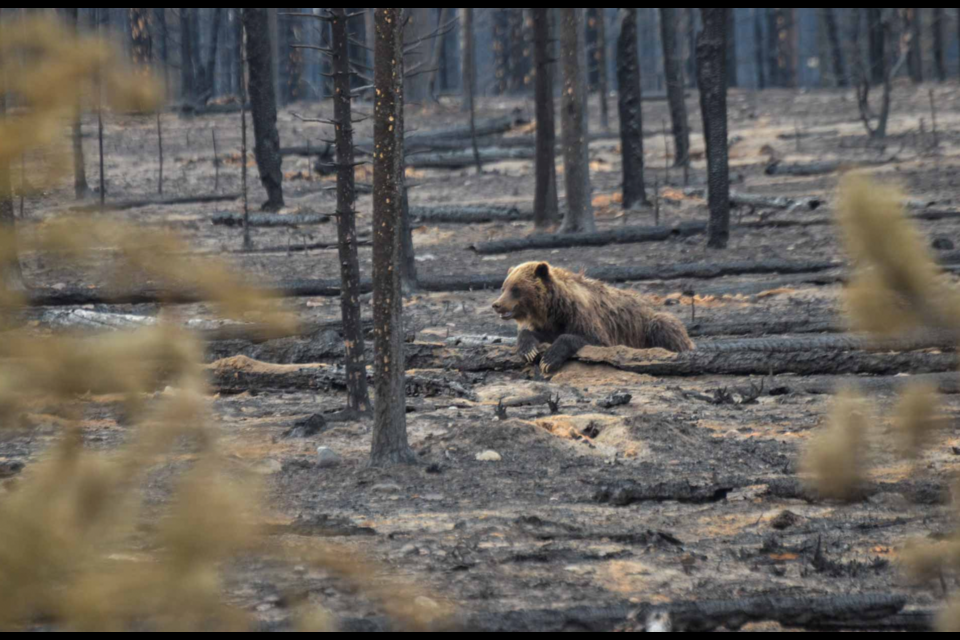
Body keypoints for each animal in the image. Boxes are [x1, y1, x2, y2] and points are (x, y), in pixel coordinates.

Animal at [492, 260, 692, 372]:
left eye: (516, 289)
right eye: (503, 287)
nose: (497, 305)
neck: (552, 308)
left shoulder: (581, 316)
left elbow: (590, 339)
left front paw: (549, 360)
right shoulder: (547, 324)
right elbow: (533, 334)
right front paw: (528, 350)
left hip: (648, 324)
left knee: (665, 326)